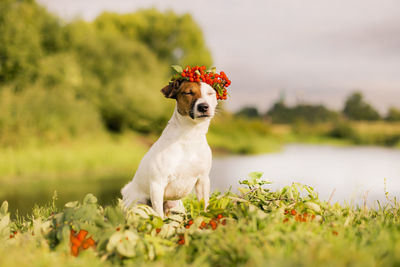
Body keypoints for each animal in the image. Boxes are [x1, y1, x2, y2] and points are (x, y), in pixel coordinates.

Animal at [121, 80, 217, 219]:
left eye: (210, 93)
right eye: (188, 92)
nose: (203, 107)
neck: (189, 136)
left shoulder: (203, 180)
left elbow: (204, 205)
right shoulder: (157, 184)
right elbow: (159, 217)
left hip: (176, 205)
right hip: (139, 203)